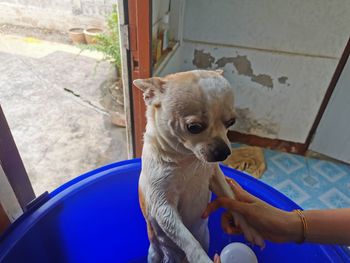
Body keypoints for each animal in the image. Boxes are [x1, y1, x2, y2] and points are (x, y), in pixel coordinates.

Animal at [134, 69, 262, 262]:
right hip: (154, 253)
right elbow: (188, 240)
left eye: (231, 122)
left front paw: (248, 228)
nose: (224, 152)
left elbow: (231, 199)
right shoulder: (163, 206)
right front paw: (202, 258)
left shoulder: (216, 178)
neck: (187, 159)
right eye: (194, 127)